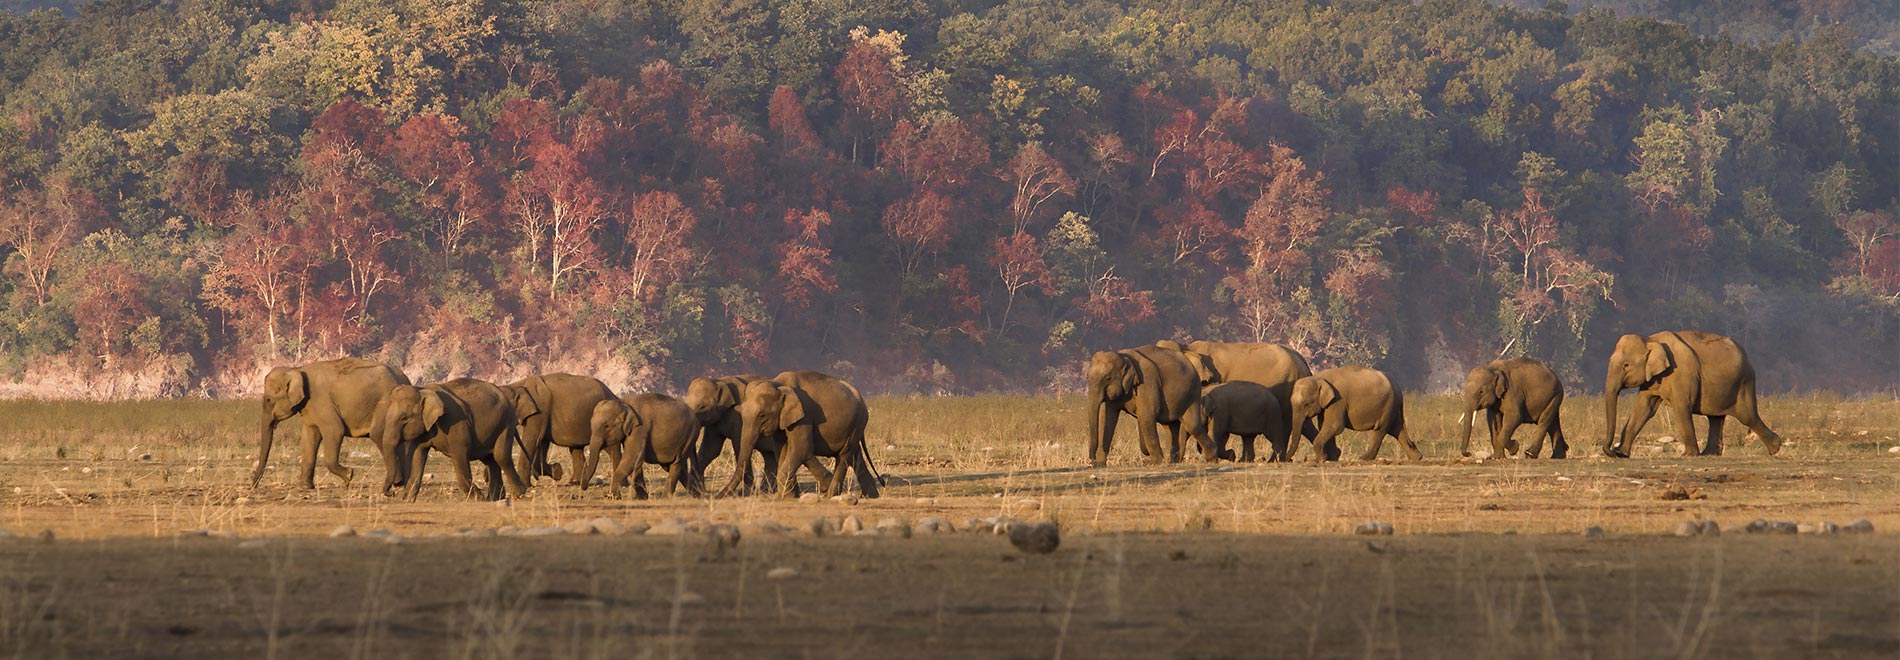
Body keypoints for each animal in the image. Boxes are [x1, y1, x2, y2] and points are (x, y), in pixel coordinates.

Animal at [254, 357, 410, 490]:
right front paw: (305, 487)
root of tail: (405, 379)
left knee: (379, 435)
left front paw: (349, 475)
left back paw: (397, 483)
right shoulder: (310, 407)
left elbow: (335, 430)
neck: (297, 369)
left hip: (385, 405)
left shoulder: (321, 401)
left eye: (268, 400)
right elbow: (309, 436)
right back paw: (401, 483)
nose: (253, 484)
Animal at [718, 374, 881, 498]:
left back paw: (831, 493)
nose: (717, 496)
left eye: (762, 415)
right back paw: (870, 495)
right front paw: (789, 495)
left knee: (844, 455)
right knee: (854, 455)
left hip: (857, 424)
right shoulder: (784, 421)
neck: (778, 383)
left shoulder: (804, 416)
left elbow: (801, 449)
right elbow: (783, 450)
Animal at [1086, 344, 1216, 467]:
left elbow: (1146, 417)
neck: (1124, 356)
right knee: (1171, 427)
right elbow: (1107, 419)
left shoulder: (1147, 382)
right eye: (1088, 377)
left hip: (1192, 392)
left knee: (1191, 425)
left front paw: (1157, 462)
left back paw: (1212, 458)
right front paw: (1100, 465)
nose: (1092, 460)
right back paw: (1172, 461)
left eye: (1108, 378)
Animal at [1284, 367, 1421, 465]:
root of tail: (1399, 389)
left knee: (1380, 430)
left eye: (1307, 404)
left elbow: (1335, 425)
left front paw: (1320, 459)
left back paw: (1364, 458)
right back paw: (1417, 457)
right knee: (1397, 429)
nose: (1286, 459)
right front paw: (1331, 457)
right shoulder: (1328, 404)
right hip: (1392, 408)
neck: (1317, 377)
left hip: (1388, 406)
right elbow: (1324, 425)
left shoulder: (1338, 400)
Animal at [1603, 332, 1778, 458]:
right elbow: (1644, 409)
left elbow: (1681, 406)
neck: (1650, 339)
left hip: (1744, 383)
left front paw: (1687, 455)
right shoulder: (1651, 379)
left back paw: (1776, 448)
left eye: (1626, 365)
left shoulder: (1682, 374)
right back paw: (1709, 454)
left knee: (1747, 416)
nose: (1613, 451)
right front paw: (1623, 454)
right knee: (1715, 418)